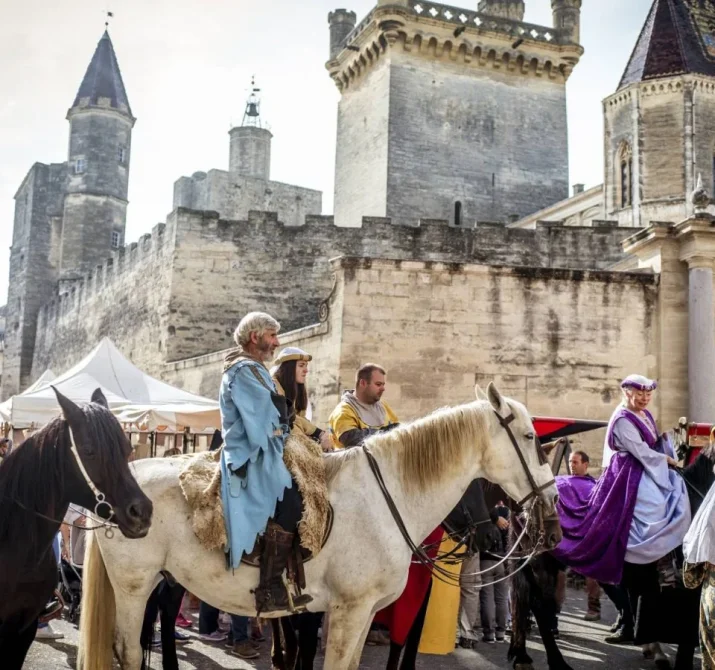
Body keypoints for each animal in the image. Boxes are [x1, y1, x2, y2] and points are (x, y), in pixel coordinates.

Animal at [78, 384, 560, 670]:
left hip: (164, 579)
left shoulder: (364, 612)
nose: (551, 518)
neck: (385, 498)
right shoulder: (348, 610)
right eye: (531, 438)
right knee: (126, 649)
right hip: (133, 584)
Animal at [510, 452, 715, 670]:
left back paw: (521, 655)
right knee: (537, 605)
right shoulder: (689, 589)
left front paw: (651, 648)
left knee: (524, 602)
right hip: (541, 566)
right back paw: (556, 661)